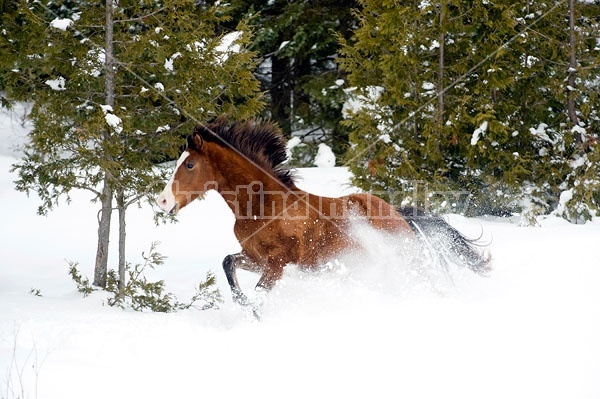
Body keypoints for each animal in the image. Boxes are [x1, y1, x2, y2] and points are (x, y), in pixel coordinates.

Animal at [157, 117, 490, 308]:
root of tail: (398, 214)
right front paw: (240, 301)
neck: (265, 205)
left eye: (189, 164)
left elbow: (260, 295)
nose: (162, 201)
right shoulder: (255, 257)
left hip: (400, 258)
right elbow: (228, 263)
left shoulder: (278, 262)